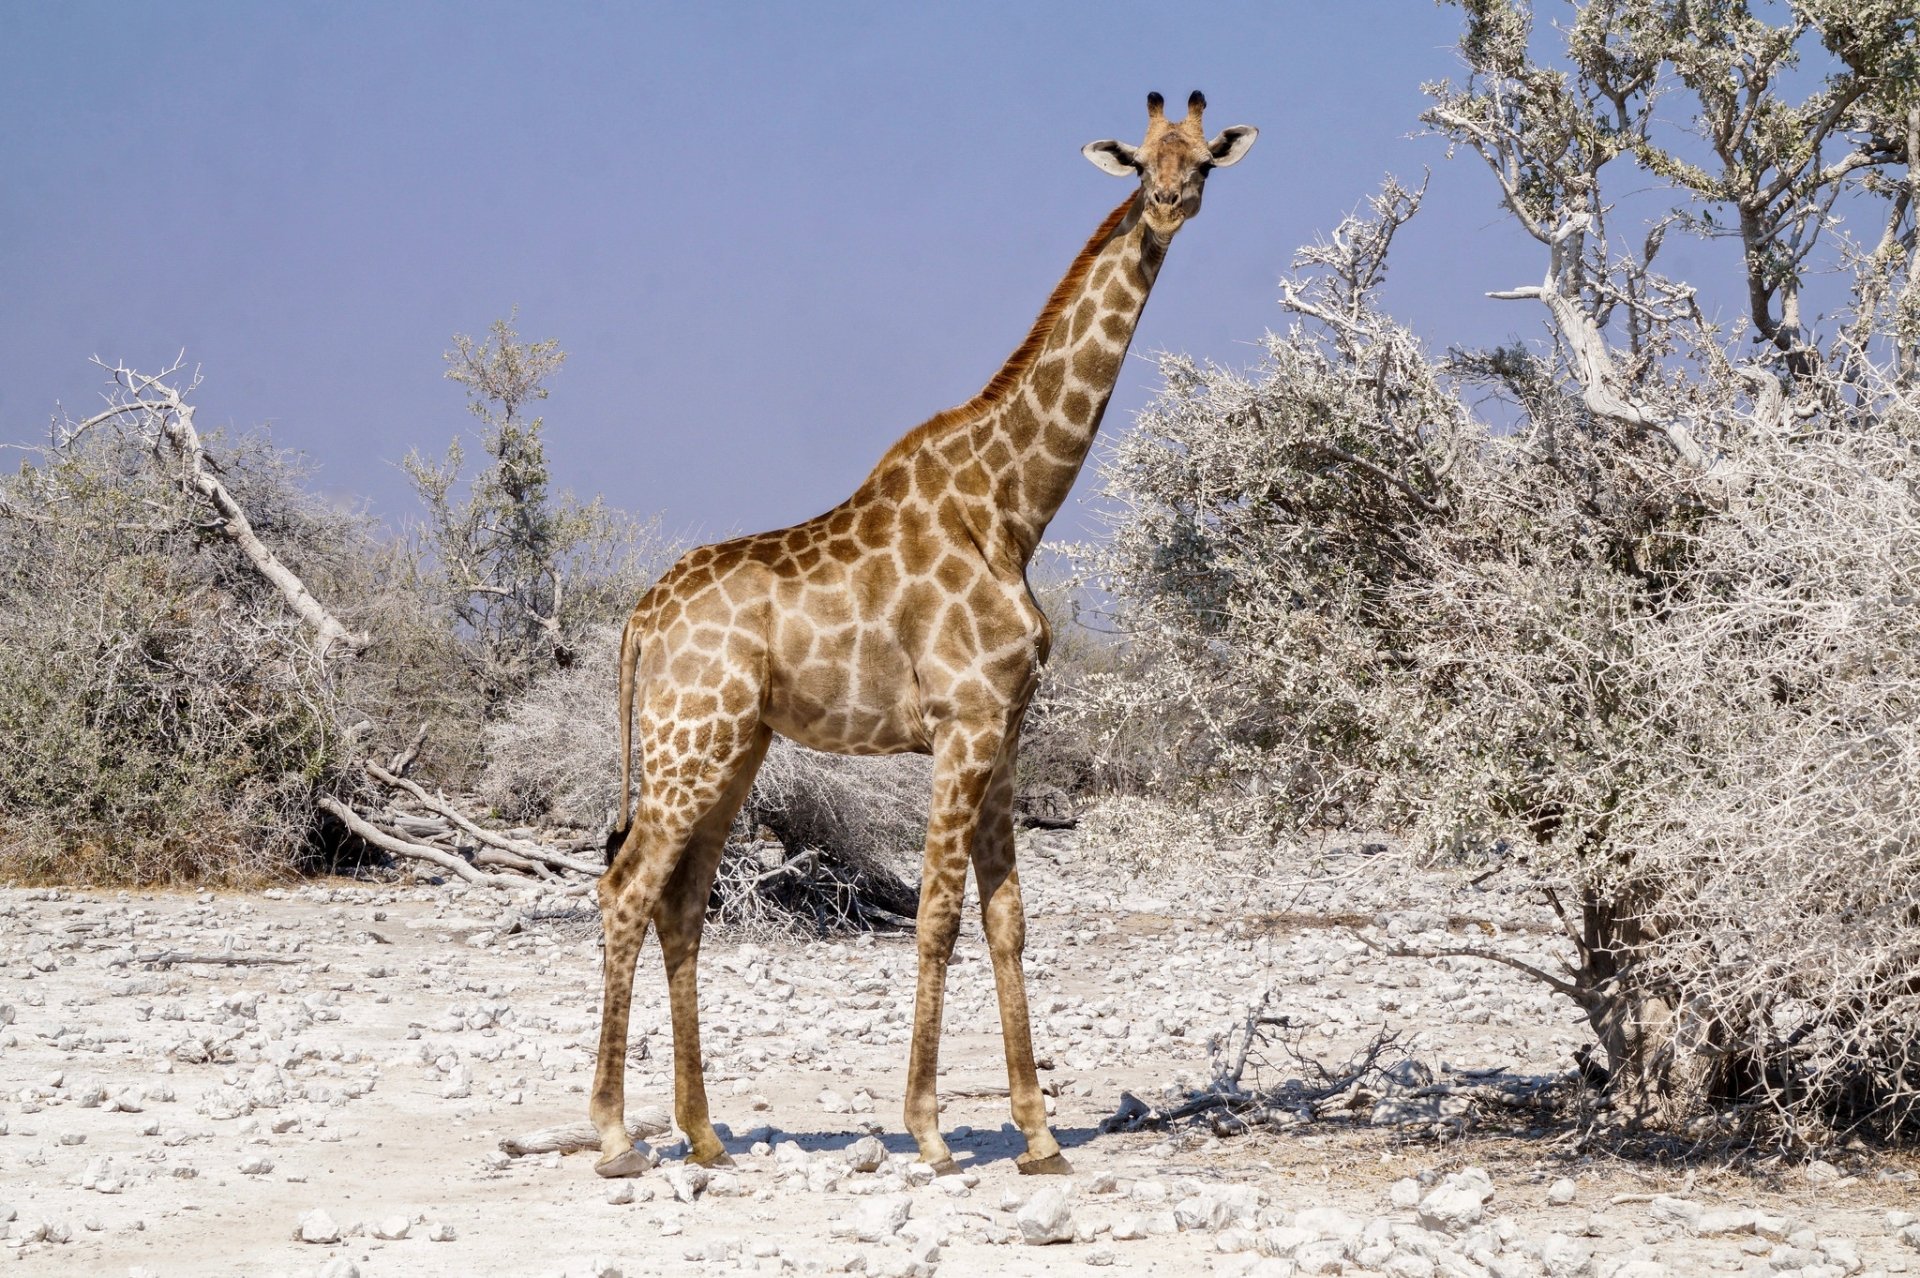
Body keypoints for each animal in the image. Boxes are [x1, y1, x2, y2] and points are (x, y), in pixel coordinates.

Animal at [591, 92, 1251, 1174]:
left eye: (1201, 161)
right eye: (1139, 161)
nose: (1166, 206)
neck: (1014, 508)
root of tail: (641, 618)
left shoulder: (1006, 731)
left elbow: (1009, 919)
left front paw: (1038, 1134)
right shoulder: (962, 722)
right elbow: (937, 915)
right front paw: (932, 1131)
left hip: (732, 747)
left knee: (682, 904)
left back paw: (703, 1134)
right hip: (689, 742)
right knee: (626, 890)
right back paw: (613, 1132)